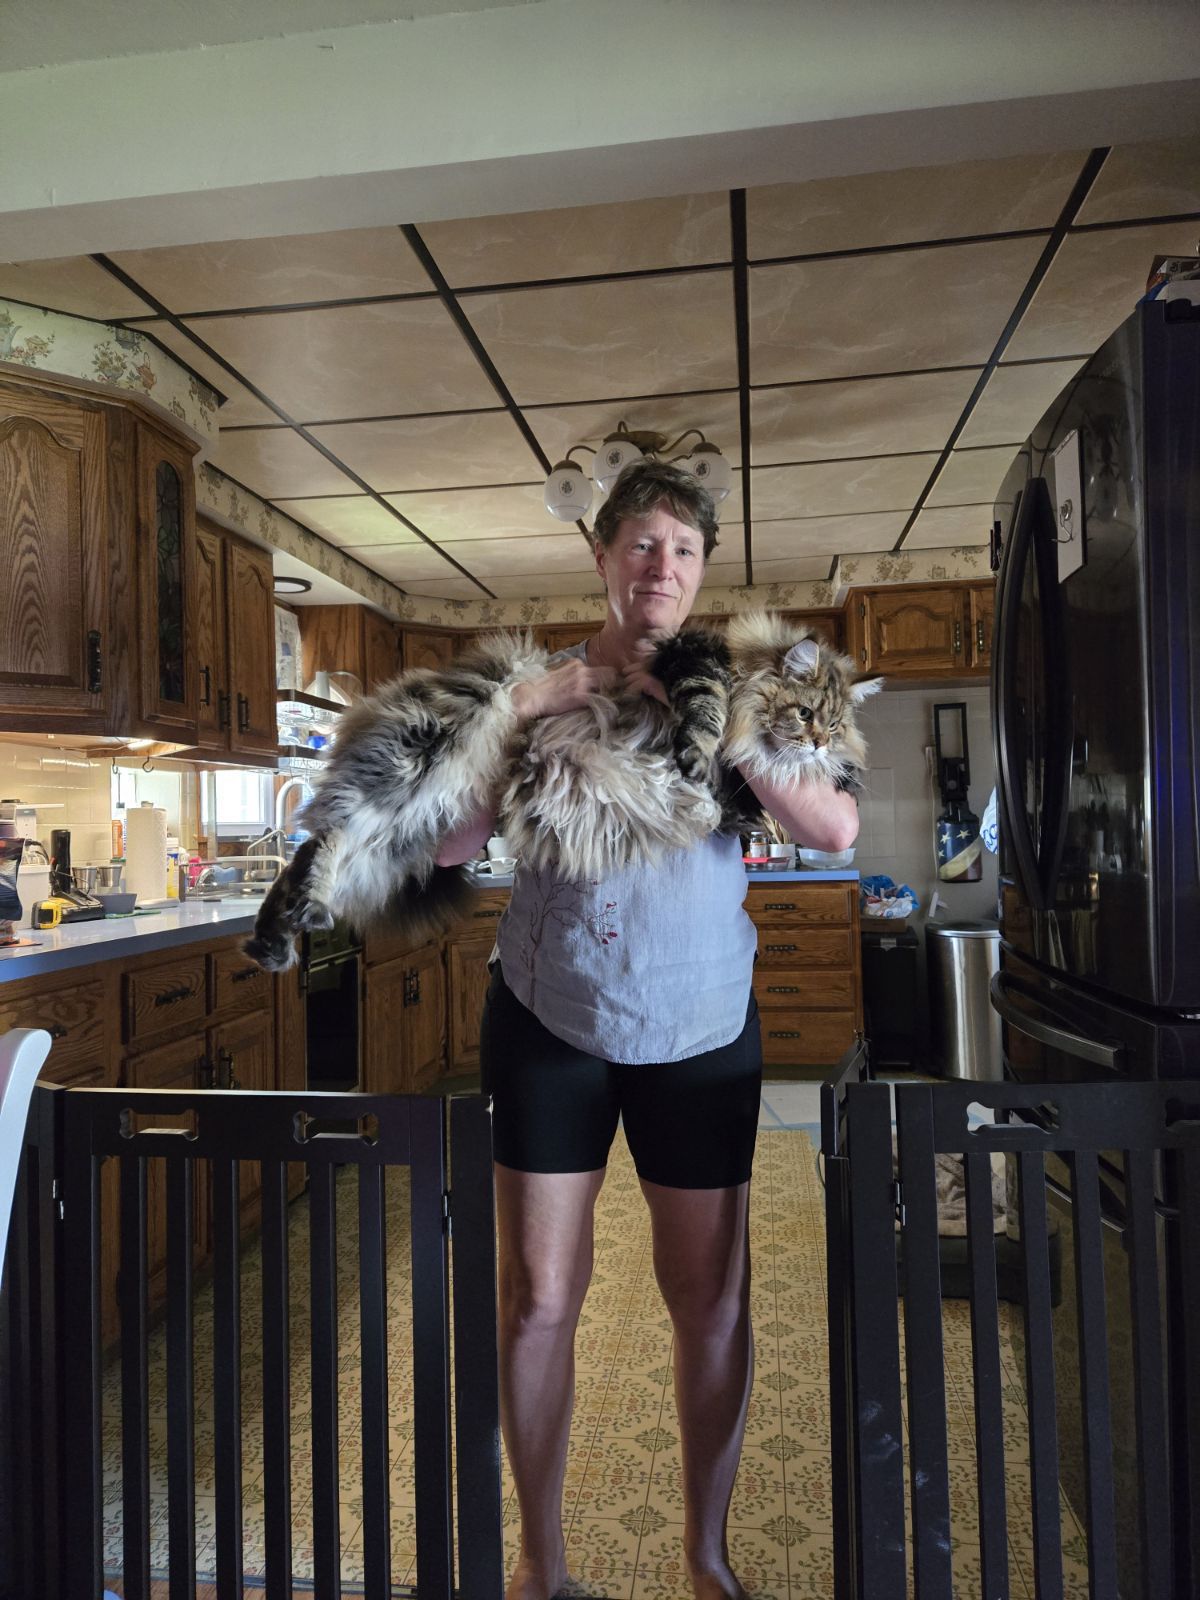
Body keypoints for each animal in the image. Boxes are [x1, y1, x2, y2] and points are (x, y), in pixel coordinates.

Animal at [245, 616, 880, 971]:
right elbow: (706, 710)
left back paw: (277, 936)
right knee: (324, 837)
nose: (820, 745)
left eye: (833, 723)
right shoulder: (692, 655)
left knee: (312, 856)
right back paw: (292, 922)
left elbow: (747, 795)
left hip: (407, 832)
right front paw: (699, 757)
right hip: (414, 762)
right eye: (804, 714)